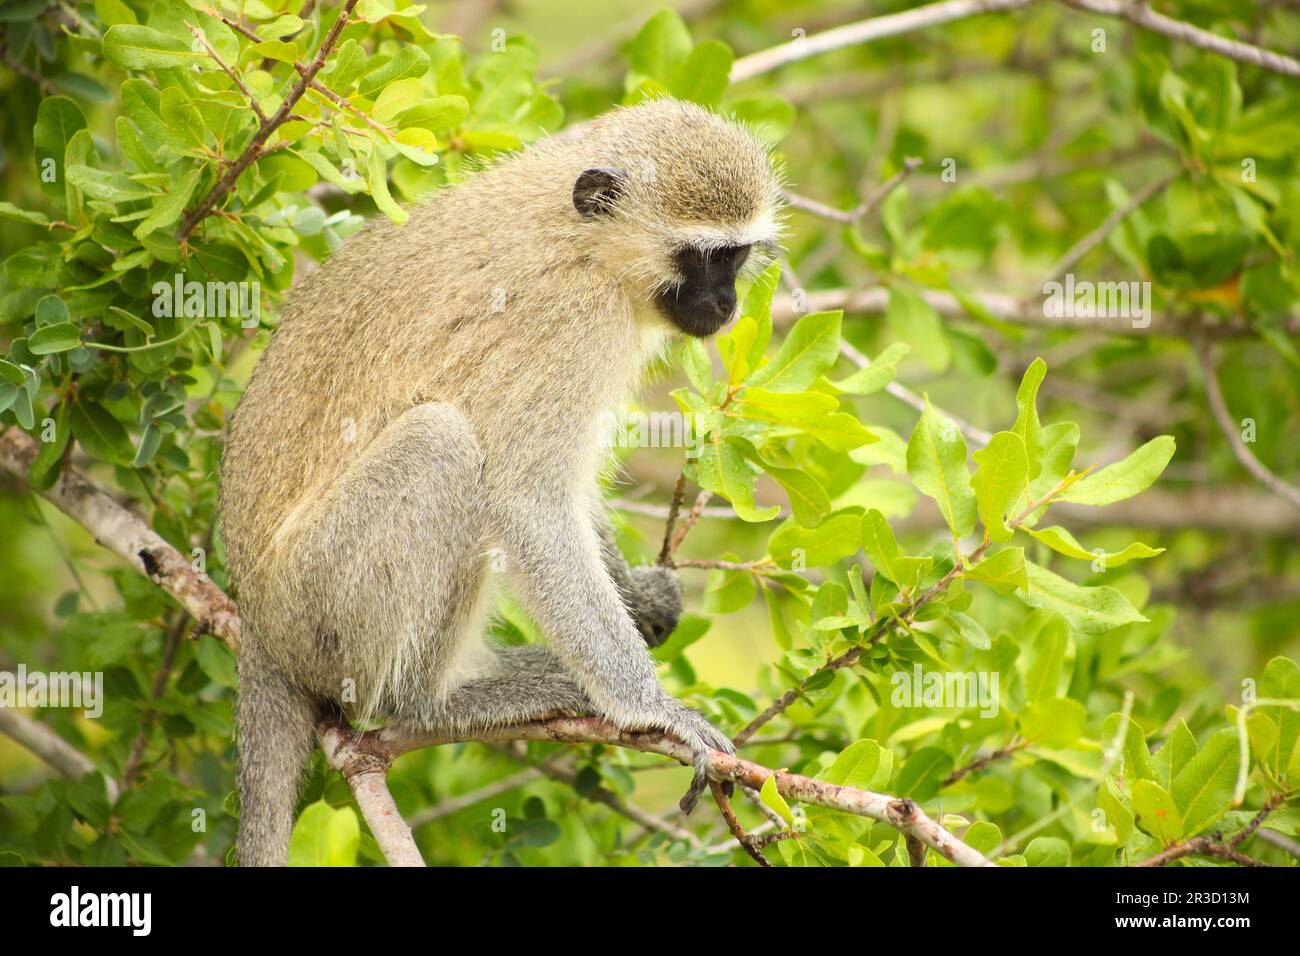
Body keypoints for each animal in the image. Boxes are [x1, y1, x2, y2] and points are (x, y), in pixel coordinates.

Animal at [219, 97, 784, 866]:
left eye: (737, 255)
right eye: (699, 257)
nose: (724, 304)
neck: (587, 243)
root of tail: (255, 620)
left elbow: (567, 495)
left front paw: (641, 600)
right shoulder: (572, 326)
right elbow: (528, 500)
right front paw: (654, 711)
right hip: (318, 603)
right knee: (445, 444)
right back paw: (432, 701)